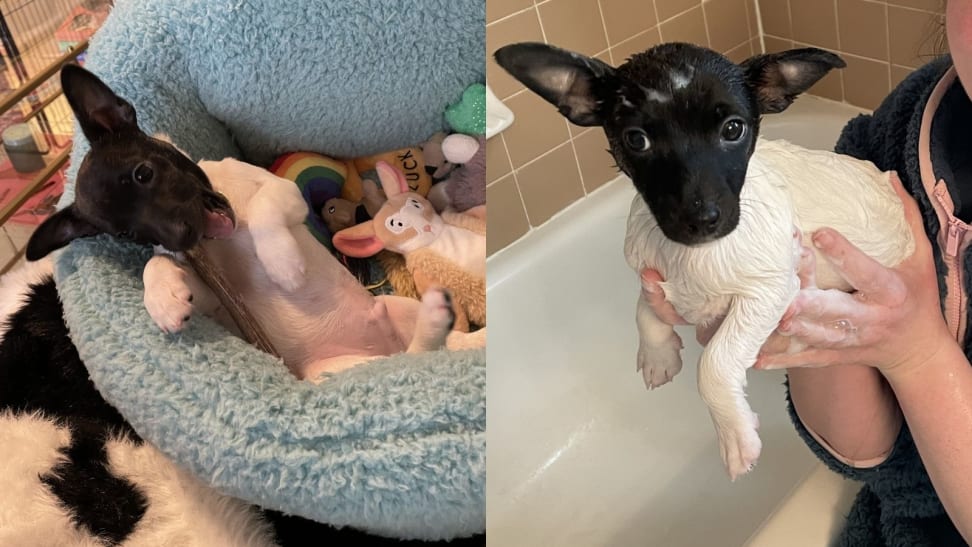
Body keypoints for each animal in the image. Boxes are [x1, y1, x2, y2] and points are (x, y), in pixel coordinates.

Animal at [498, 42, 916, 480]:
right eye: (636, 139)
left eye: (733, 129)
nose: (701, 219)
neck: (694, 253)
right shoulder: (650, 271)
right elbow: (644, 310)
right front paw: (658, 354)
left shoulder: (769, 290)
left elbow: (714, 362)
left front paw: (733, 432)